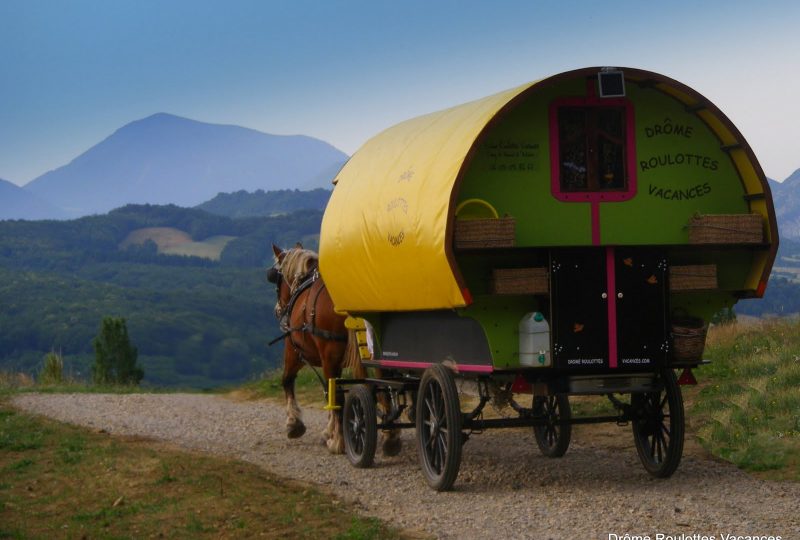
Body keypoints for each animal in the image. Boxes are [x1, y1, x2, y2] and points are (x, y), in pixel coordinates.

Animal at [268, 245, 404, 456]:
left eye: (275, 277)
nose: (277, 310)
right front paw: (328, 431)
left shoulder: (294, 350)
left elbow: (289, 380)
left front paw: (294, 424)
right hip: (376, 351)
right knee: (384, 386)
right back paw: (391, 437)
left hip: (328, 355)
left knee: (338, 393)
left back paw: (339, 442)